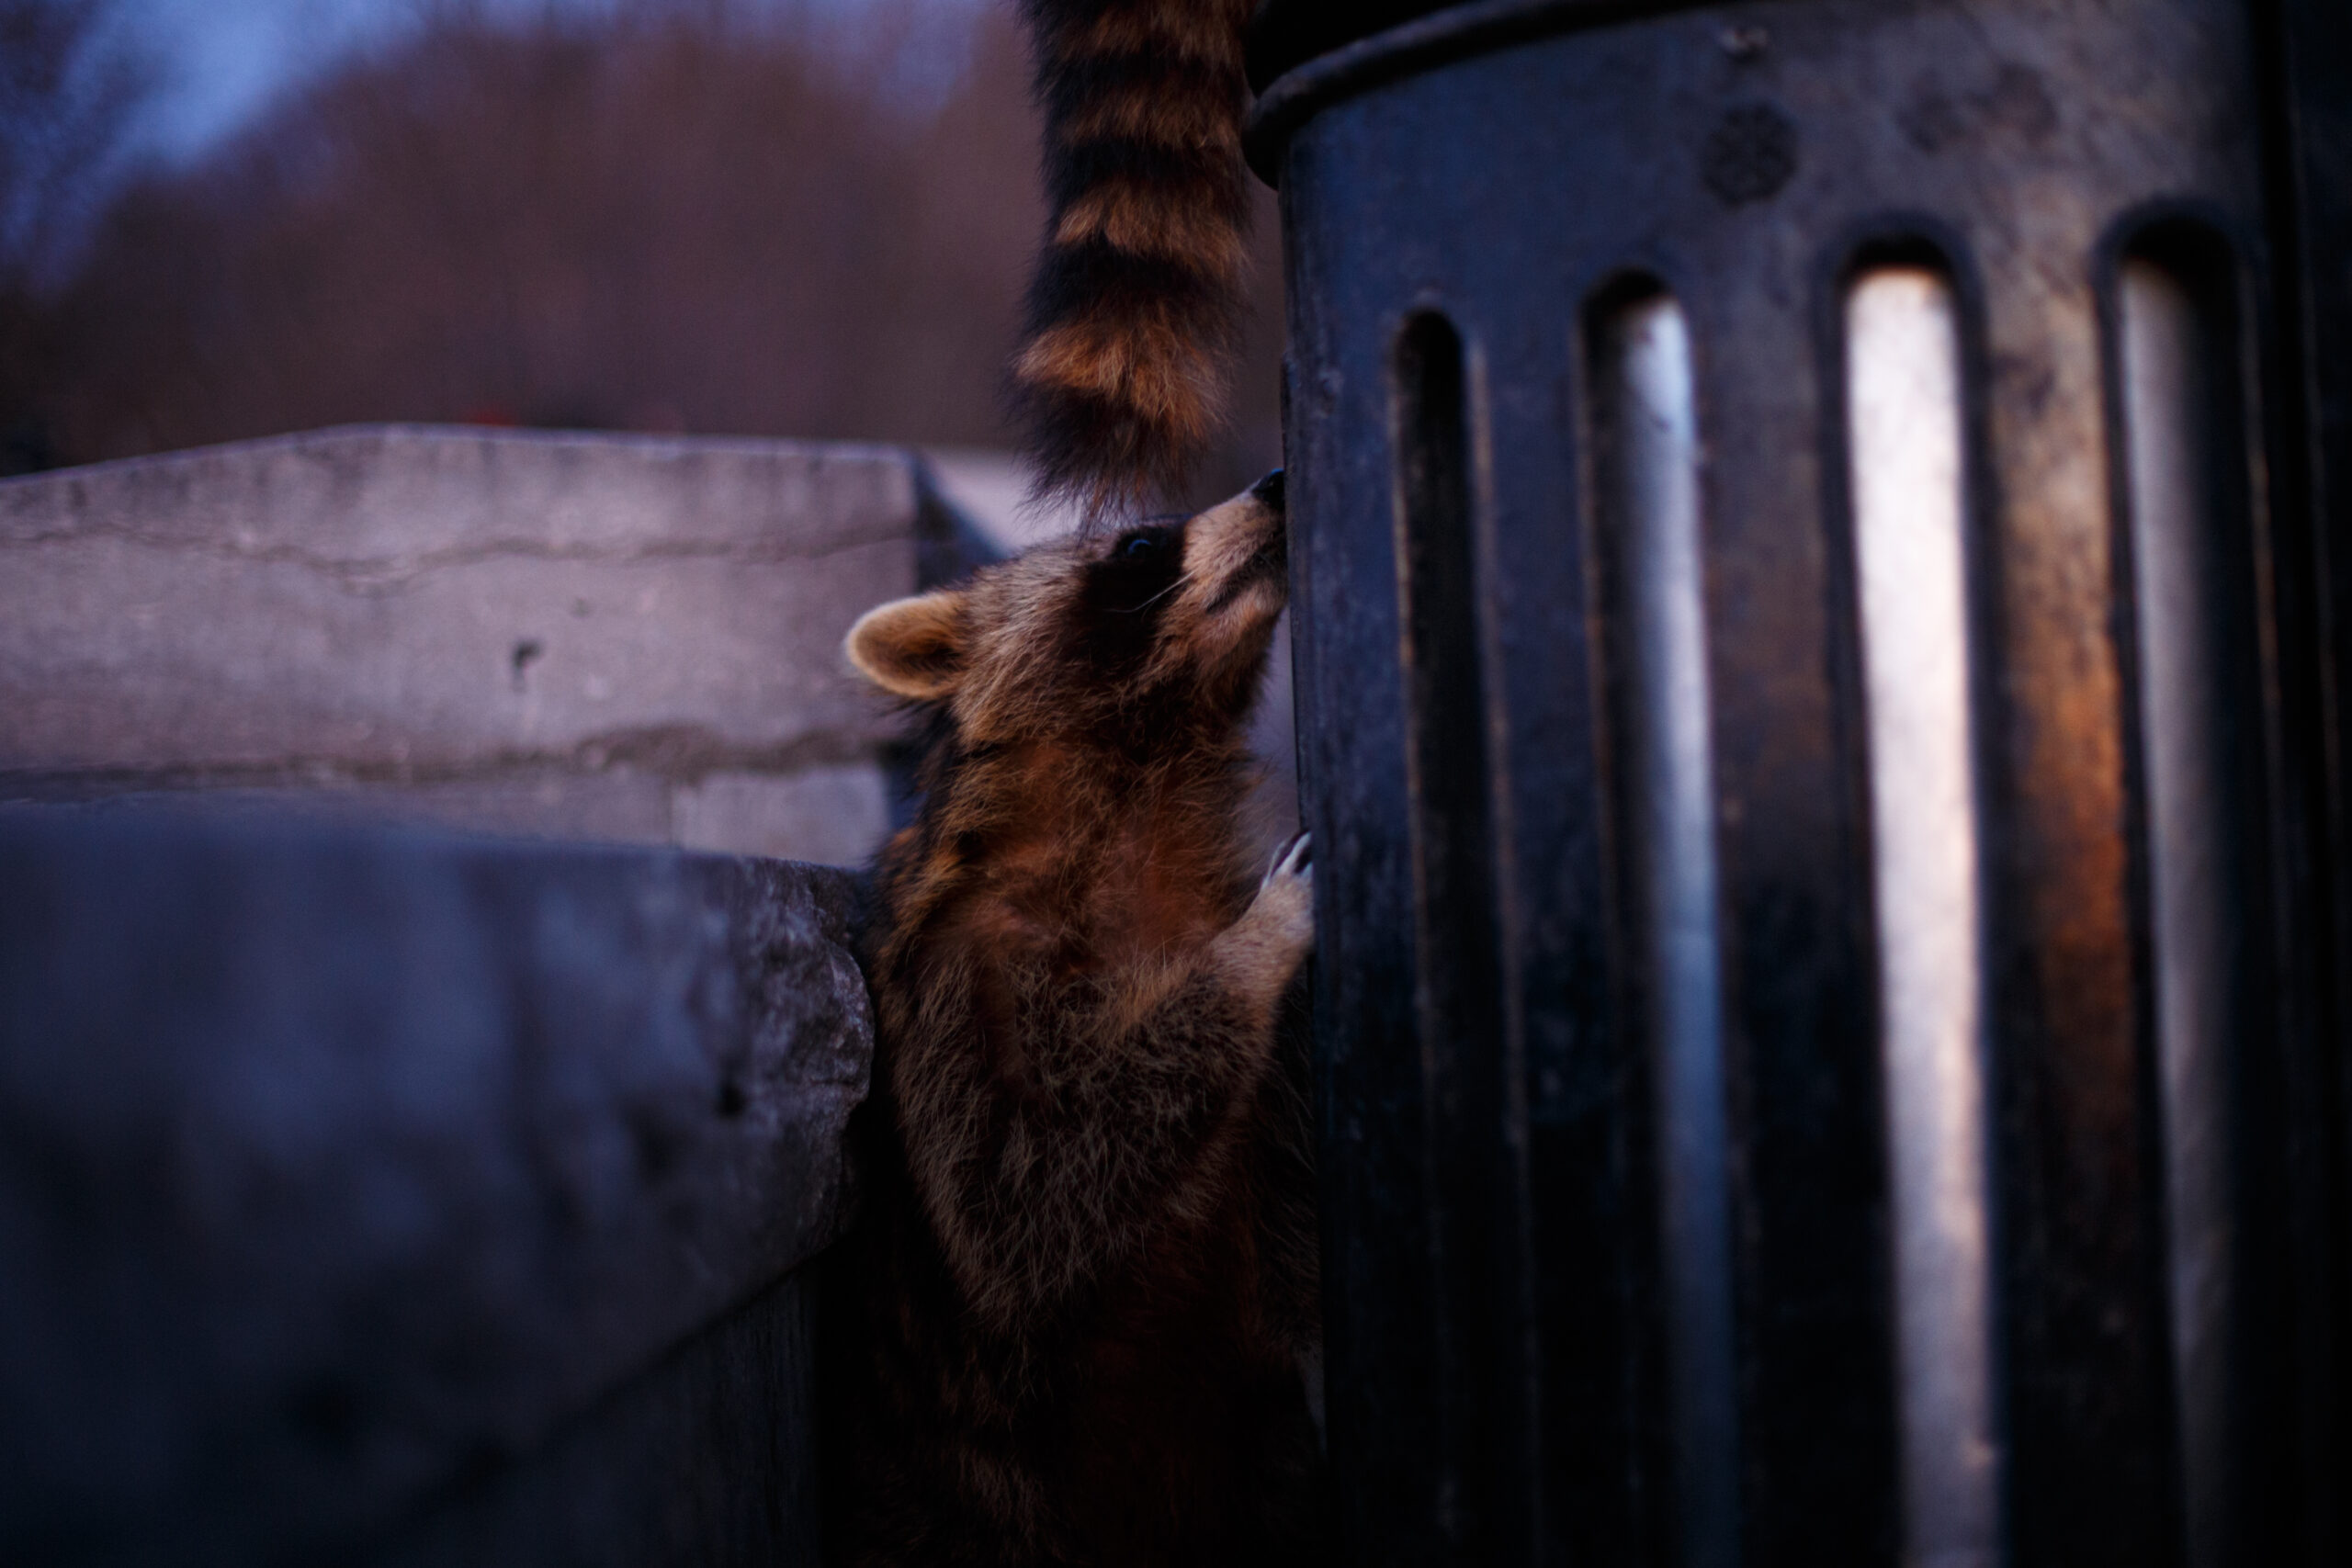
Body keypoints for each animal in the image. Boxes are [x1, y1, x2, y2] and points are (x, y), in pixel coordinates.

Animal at [823, 474, 1326, 1568]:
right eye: (1138, 546)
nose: (1276, 483)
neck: (1142, 782)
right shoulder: (961, 984)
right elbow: (1028, 1200)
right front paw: (1250, 954)